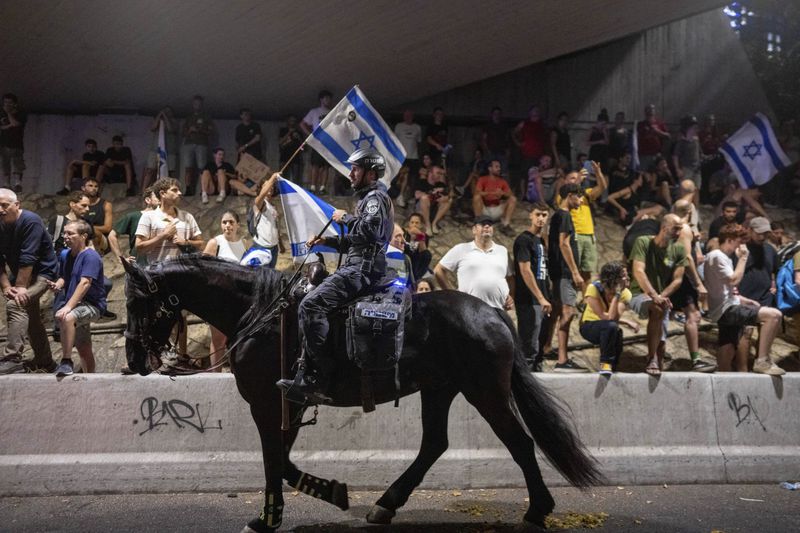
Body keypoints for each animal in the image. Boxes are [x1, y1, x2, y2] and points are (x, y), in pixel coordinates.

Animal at [122, 256, 604, 528]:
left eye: (137, 301)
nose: (133, 359)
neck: (260, 313)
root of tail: (492, 312)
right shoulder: (289, 403)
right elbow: (283, 461)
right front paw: (327, 492)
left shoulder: (268, 403)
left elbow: (274, 461)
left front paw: (268, 518)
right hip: (440, 390)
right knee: (435, 443)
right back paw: (385, 505)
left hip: (485, 392)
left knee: (520, 443)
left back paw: (537, 510)